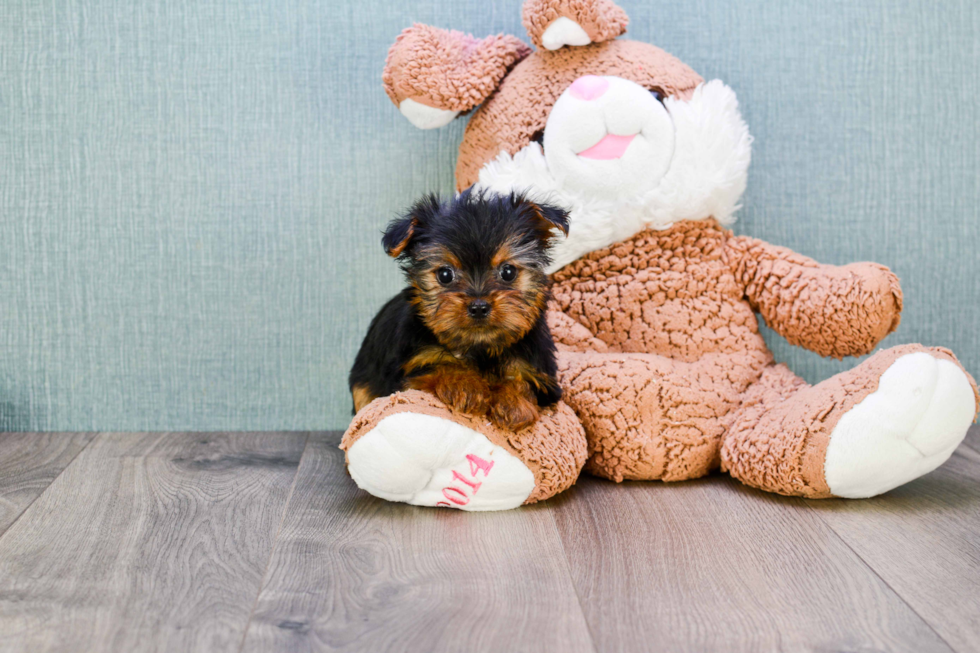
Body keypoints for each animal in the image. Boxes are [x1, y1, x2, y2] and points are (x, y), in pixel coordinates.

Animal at [350, 188, 568, 430]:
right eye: (445, 275)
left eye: (508, 272)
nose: (479, 307)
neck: (481, 348)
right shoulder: (409, 373)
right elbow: (440, 366)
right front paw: (466, 385)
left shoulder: (543, 378)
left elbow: (524, 382)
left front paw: (513, 401)